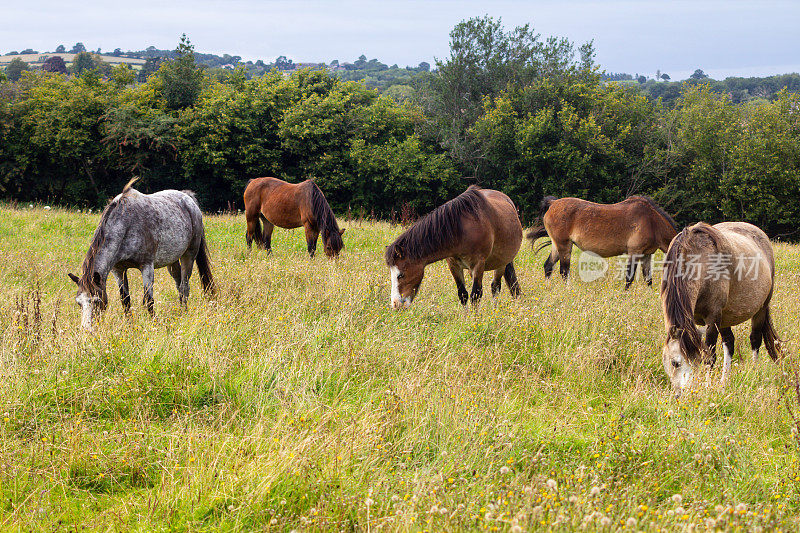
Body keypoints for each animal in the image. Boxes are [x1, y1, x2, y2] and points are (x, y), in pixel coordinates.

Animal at [67, 178, 214, 328]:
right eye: (79, 303)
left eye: (97, 301)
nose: (86, 329)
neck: (126, 225)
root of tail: (189, 200)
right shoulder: (118, 270)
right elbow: (125, 300)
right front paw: (130, 326)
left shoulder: (147, 267)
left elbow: (149, 300)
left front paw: (154, 324)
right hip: (172, 261)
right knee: (179, 284)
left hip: (188, 256)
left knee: (184, 287)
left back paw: (184, 314)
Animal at [384, 185, 520, 308]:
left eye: (401, 275)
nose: (395, 304)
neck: (461, 231)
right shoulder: (454, 265)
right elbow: (463, 294)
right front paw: (465, 317)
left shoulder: (478, 264)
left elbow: (475, 295)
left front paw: (475, 318)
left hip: (501, 263)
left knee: (495, 287)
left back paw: (494, 310)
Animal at [528, 194, 680, 286]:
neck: (651, 221)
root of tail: (553, 203)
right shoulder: (634, 252)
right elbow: (629, 277)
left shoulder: (647, 254)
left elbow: (648, 279)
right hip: (564, 245)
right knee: (564, 271)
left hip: (557, 245)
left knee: (548, 266)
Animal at [664, 221, 780, 394]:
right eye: (671, 362)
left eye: (676, 363)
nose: (680, 394)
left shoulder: (712, 318)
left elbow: (710, 356)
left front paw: (707, 388)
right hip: (725, 318)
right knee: (729, 343)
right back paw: (724, 382)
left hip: (760, 309)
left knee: (755, 339)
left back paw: (754, 371)